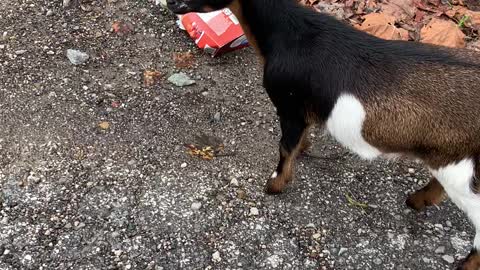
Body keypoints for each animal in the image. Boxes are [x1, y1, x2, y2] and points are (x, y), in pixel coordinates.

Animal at [168, 0, 480, 268]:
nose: (170, 3)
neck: (290, 35)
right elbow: (299, 141)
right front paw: (305, 149)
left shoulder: (289, 106)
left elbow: (285, 148)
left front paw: (274, 186)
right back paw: (415, 201)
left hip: (465, 176)